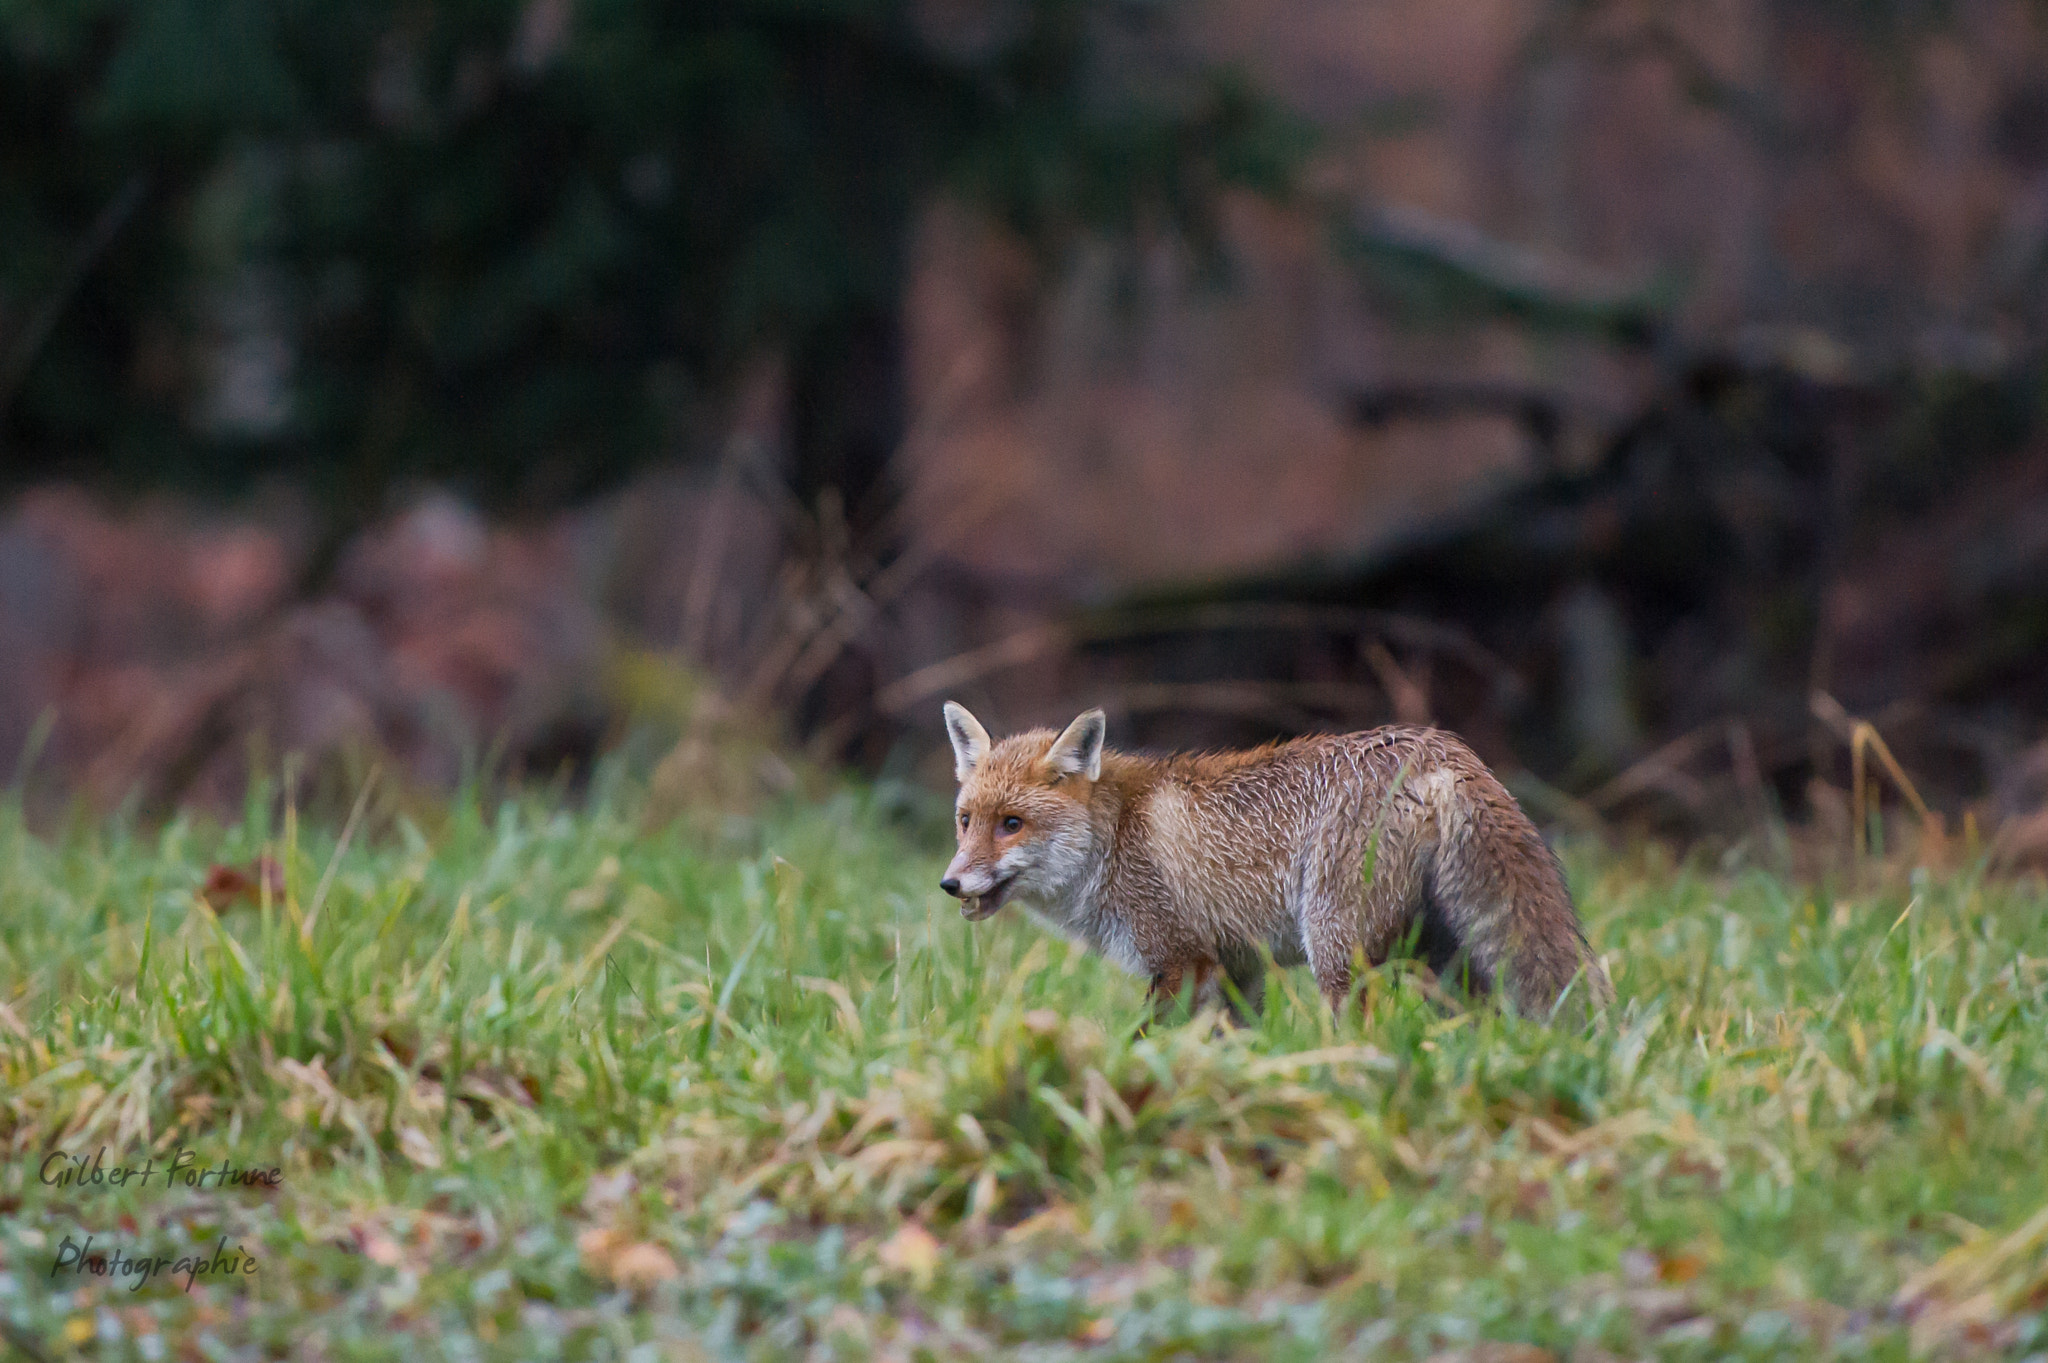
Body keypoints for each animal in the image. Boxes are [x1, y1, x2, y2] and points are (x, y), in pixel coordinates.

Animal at [939, 702, 1612, 1023]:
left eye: (1012, 824)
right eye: (966, 820)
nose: (950, 883)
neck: (1115, 836)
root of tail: (1441, 749)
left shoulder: (1181, 960)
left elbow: (1141, 1044)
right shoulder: (1238, 970)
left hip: (1337, 952)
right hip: (1443, 959)